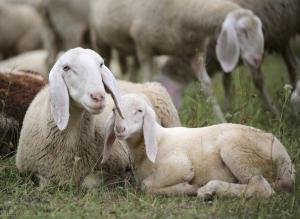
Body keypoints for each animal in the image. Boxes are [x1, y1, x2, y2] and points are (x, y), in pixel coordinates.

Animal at [15, 47, 180, 188]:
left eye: (100, 64)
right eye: (66, 68)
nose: (98, 96)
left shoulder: (116, 163)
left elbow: (88, 182)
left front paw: (124, 178)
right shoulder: (30, 171)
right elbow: (45, 182)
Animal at [90, 0, 264, 122]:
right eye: (243, 31)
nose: (257, 60)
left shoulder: (196, 54)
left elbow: (207, 87)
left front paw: (221, 119)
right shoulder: (145, 48)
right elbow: (146, 81)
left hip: (132, 49)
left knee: (133, 73)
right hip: (101, 38)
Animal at [102, 93, 294, 198]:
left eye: (140, 111)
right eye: (114, 110)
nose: (120, 129)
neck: (156, 140)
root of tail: (285, 159)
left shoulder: (179, 166)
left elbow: (147, 186)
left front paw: (186, 188)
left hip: (237, 150)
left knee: (261, 186)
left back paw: (209, 190)